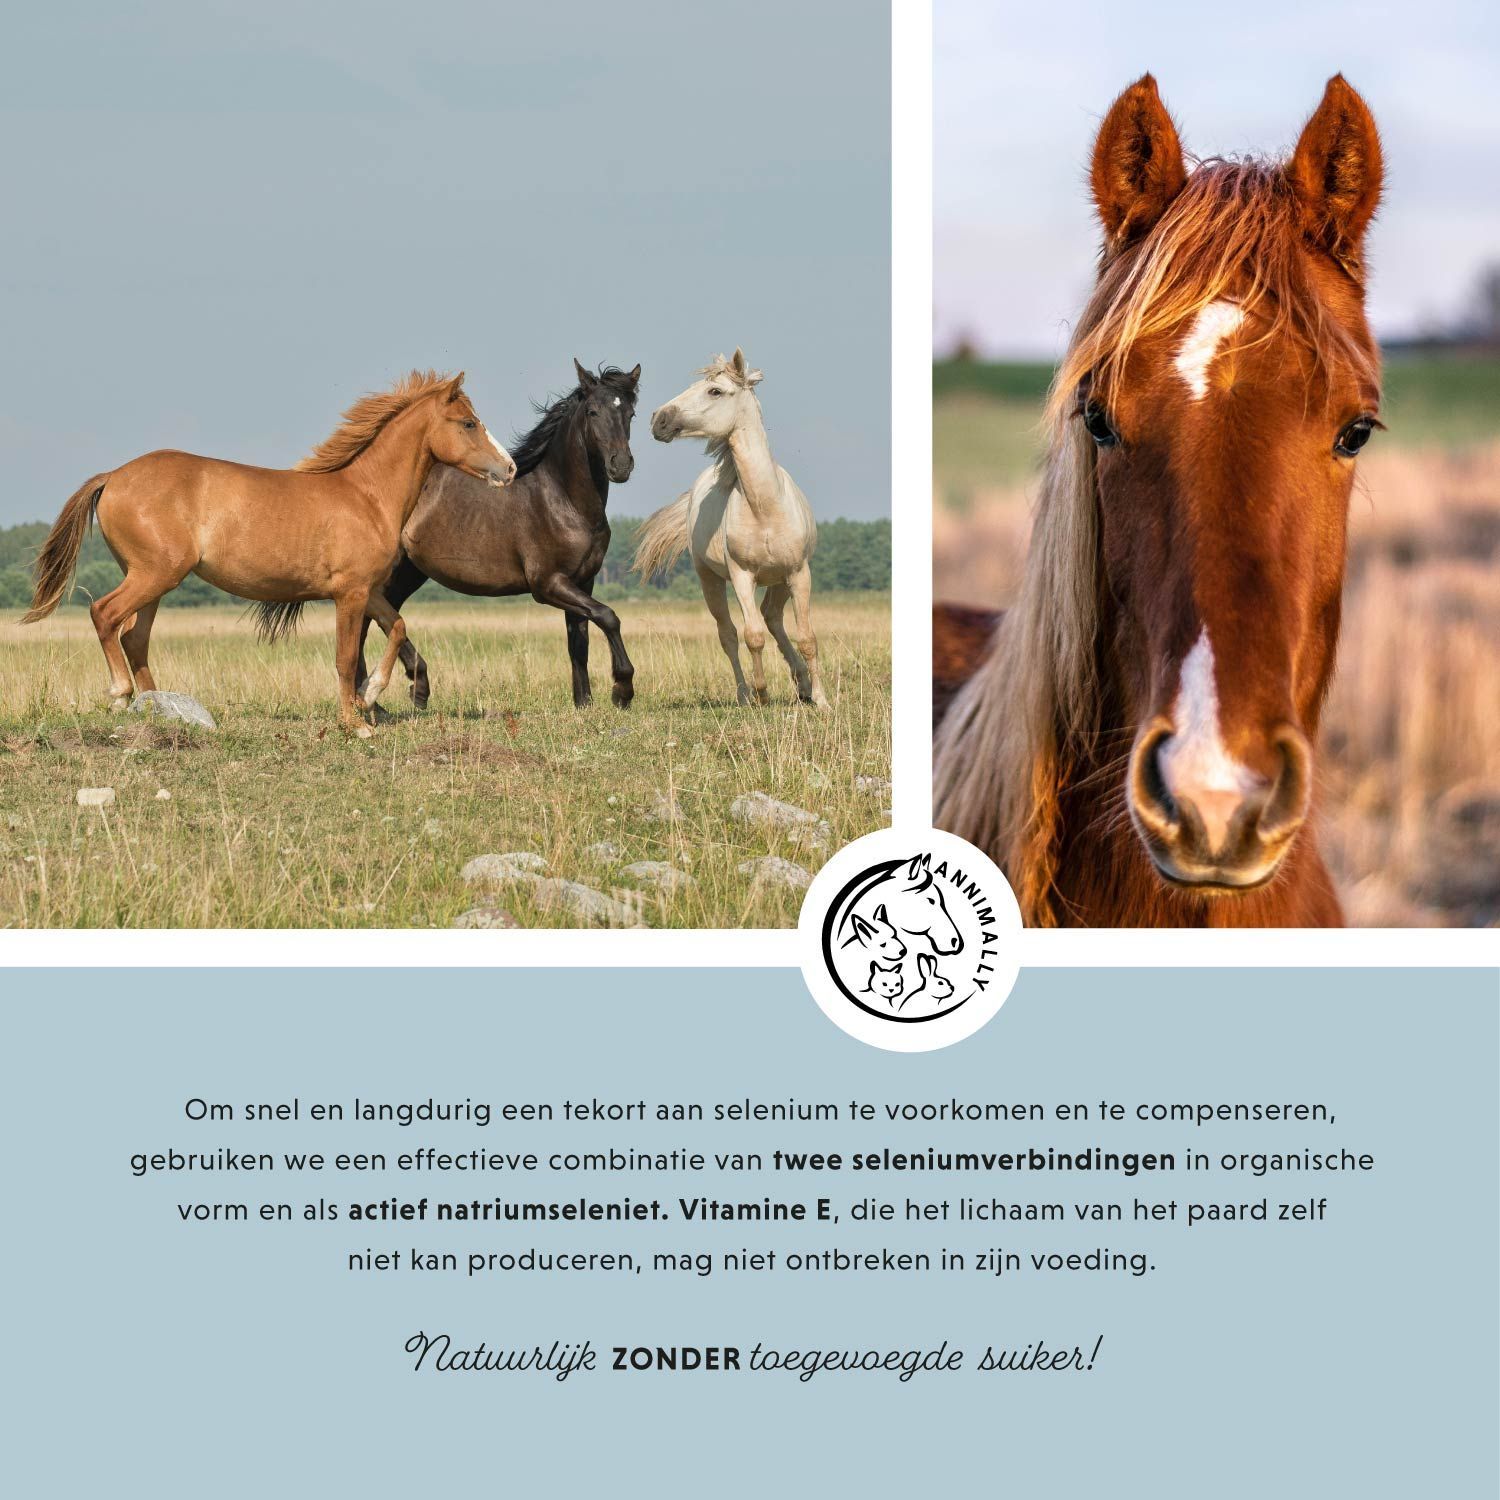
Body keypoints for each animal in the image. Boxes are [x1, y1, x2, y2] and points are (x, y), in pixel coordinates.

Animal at [23, 370, 515, 734]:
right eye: (468, 423)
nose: (508, 469)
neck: (366, 496)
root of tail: (114, 476)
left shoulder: (368, 591)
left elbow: (396, 628)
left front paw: (372, 694)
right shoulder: (349, 594)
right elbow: (345, 657)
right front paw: (355, 723)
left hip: (155, 581)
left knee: (134, 637)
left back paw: (160, 708)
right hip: (153, 575)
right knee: (105, 615)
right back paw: (122, 696)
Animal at [354, 361, 642, 710]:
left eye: (630, 413)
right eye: (592, 411)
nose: (621, 465)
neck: (563, 500)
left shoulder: (583, 581)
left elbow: (579, 641)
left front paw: (583, 703)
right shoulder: (548, 584)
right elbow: (608, 616)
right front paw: (622, 690)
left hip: (409, 572)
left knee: (380, 617)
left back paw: (394, 693)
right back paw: (386, 694)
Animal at [632, 349, 829, 708]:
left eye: (715, 391)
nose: (658, 419)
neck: (765, 507)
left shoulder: (799, 573)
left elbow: (807, 637)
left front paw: (822, 701)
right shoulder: (741, 576)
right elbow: (752, 636)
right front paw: (762, 693)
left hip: (780, 580)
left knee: (773, 617)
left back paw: (803, 685)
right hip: (709, 579)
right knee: (730, 634)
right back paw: (745, 694)